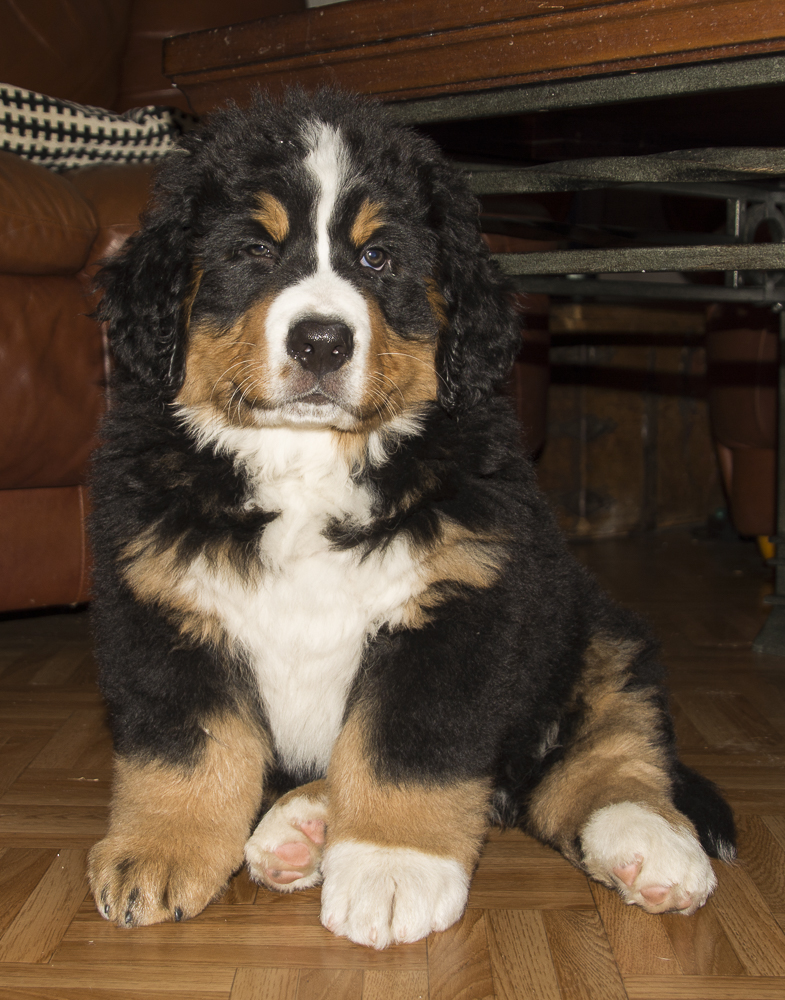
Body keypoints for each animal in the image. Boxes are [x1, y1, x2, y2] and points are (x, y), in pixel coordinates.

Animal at [87, 89, 735, 949]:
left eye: (378, 260)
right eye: (253, 250)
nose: (321, 341)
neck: (306, 464)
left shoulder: (461, 609)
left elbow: (405, 749)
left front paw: (392, 867)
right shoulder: (162, 605)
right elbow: (183, 747)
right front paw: (159, 851)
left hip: (593, 629)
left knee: (608, 750)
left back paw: (647, 842)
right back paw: (301, 827)